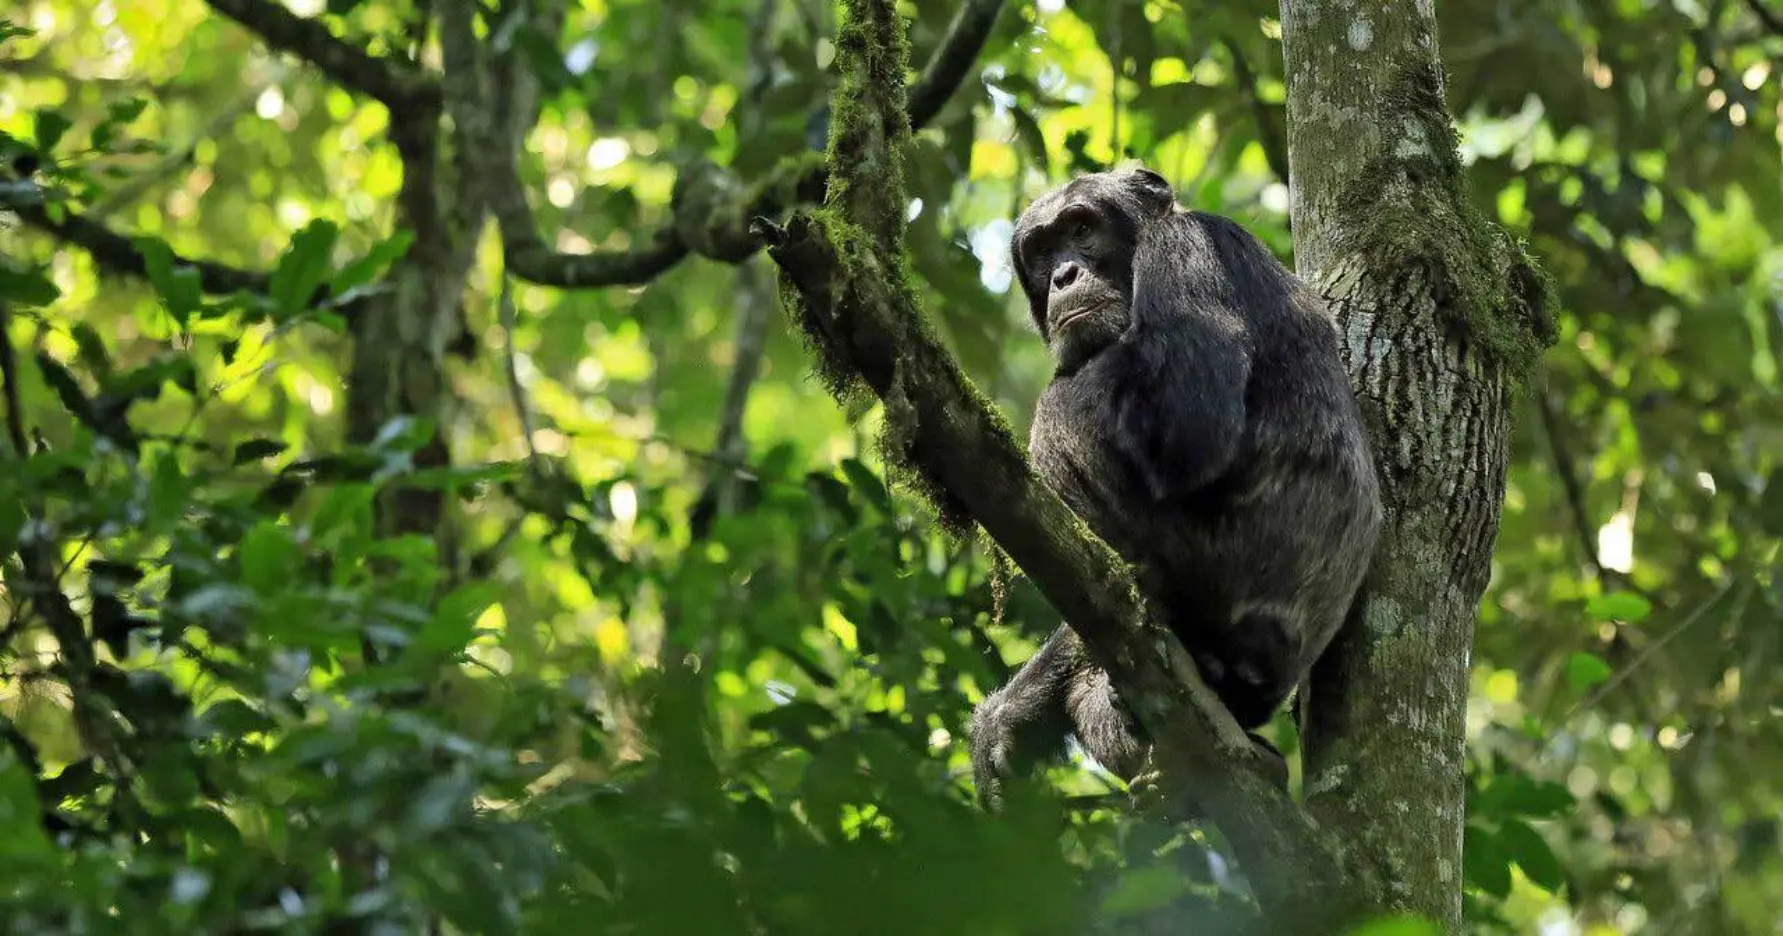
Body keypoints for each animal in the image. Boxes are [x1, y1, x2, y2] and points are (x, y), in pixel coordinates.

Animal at [968, 166, 1383, 809]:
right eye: (1041, 251)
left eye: (1081, 229)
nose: (1063, 274)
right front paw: (1009, 717)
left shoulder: (1182, 251)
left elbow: (1188, 426)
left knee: (1059, 405)